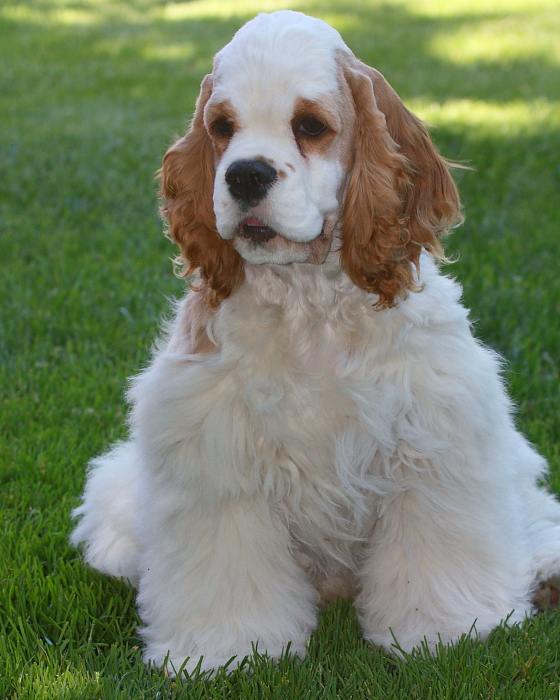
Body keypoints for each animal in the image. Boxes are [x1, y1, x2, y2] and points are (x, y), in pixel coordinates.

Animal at [72, 10, 560, 676]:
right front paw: (225, 650)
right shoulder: (217, 458)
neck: (306, 301)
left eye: (310, 126)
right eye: (221, 128)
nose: (244, 174)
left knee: (534, 513)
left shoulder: (433, 443)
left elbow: (437, 555)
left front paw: (444, 632)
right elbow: (226, 571)